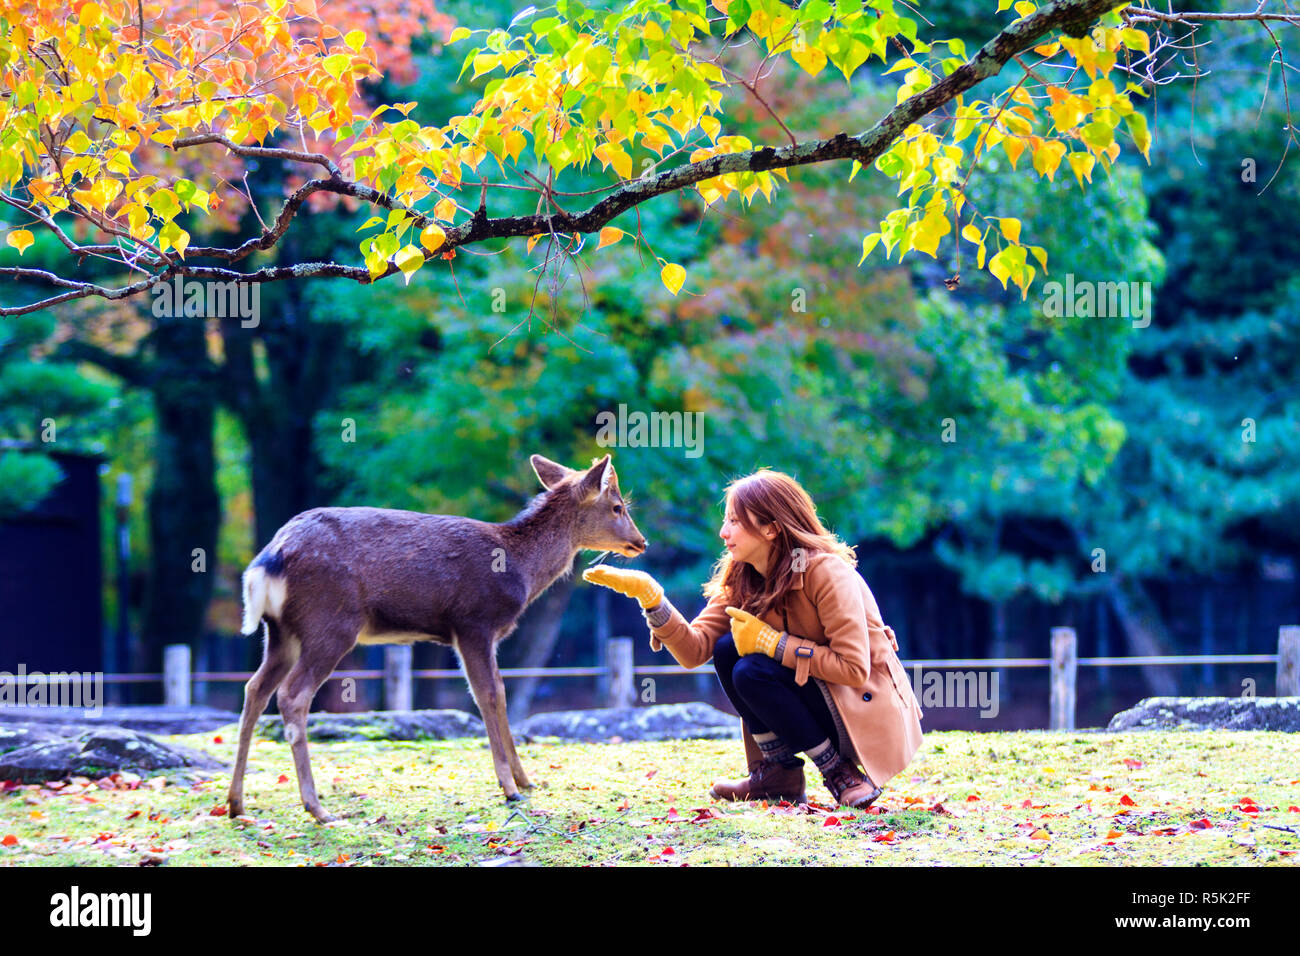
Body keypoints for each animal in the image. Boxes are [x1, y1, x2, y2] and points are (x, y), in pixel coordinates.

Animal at [230, 455, 650, 822]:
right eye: (617, 506)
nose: (641, 541)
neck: (520, 570)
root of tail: (269, 559)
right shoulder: (473, 622)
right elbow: (487, 695)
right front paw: (509, 787)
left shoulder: (486, 634)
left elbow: (500, 692)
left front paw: (527, 780)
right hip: (331, 623)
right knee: (292, 694)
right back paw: (317, 808)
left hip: (281, 631)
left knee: (255, 688)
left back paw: (236, 803)